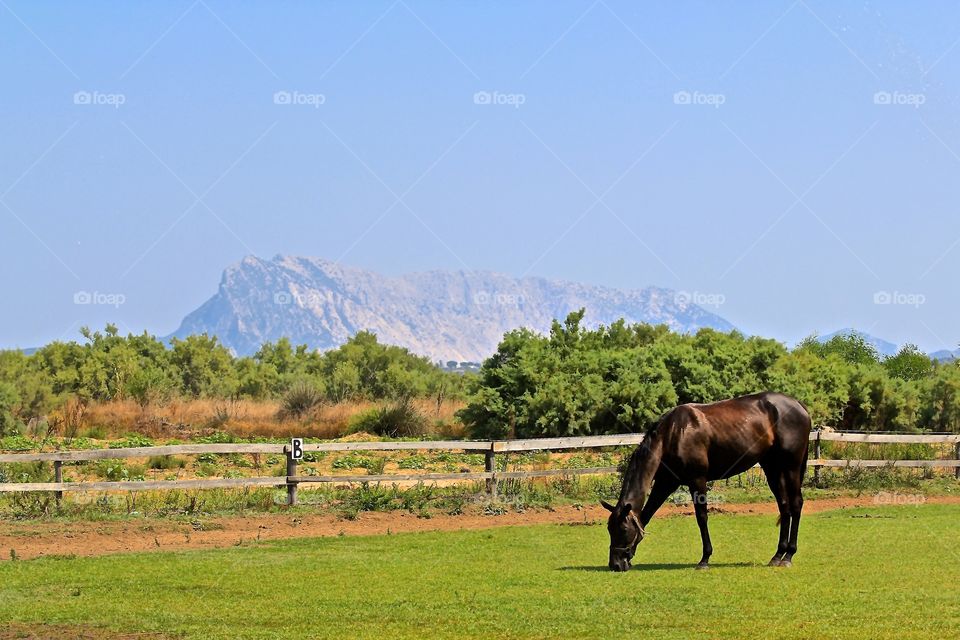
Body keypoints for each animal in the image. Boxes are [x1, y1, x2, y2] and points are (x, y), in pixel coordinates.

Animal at [601, 391, 811, 571]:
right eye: (609, 529)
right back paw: (777, 555)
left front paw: (704, 559)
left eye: (623, 529)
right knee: (784, 506)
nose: (615, 565)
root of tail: (798, 405)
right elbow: (646, 515)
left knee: (796, 504)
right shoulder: (666, 483)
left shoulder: (697, 481)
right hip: (773, 468)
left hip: (791, 468)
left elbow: (702, 518)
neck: (672, 434)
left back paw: (788, 556)